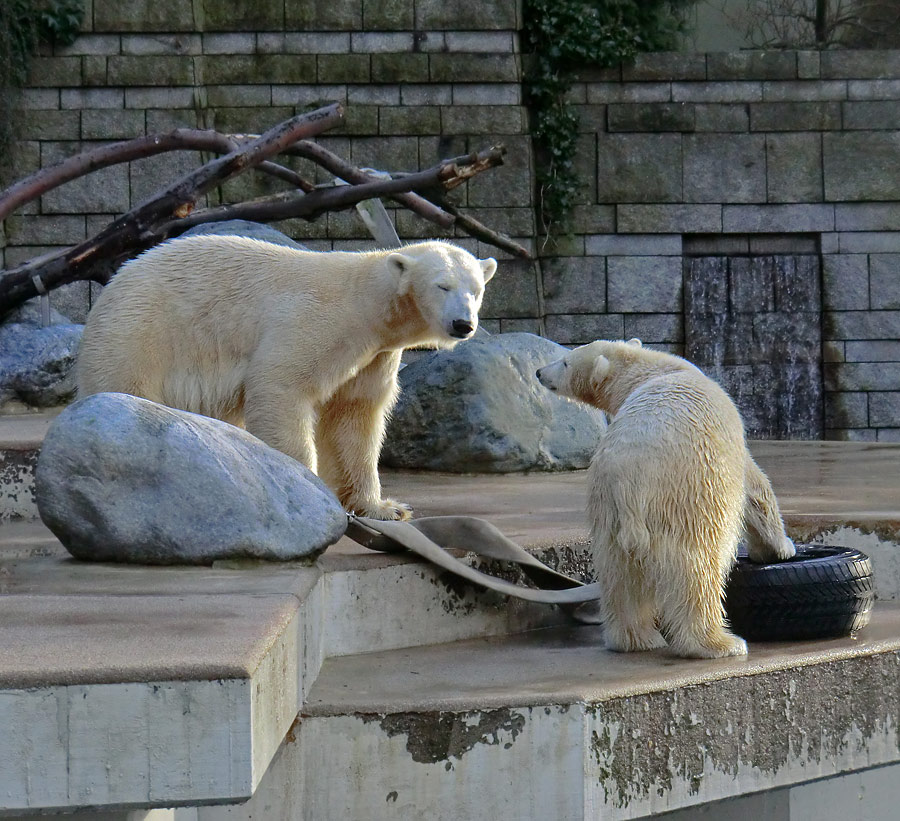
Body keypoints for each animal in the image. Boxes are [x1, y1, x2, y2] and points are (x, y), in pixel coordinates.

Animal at [75, 234, 500, 520]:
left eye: (477, 290)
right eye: (442, 285)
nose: (463, 324)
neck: (366, 304)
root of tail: (112, 287)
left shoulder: (374, 355)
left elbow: (354, 416)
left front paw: (384, 507)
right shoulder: (319, 321)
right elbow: (282, 384)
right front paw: (307, 490)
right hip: (140, 334)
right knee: (125, 393)